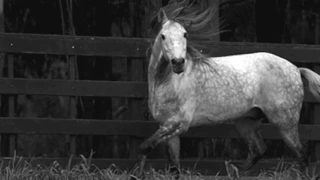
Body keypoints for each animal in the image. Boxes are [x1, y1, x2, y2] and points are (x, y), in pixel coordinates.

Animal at [132, 2, 318, 179]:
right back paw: (233, 171)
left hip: (285, 123)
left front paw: (137, 175)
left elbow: (144, 147)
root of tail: (296, 68)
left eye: (185, 34)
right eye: (163, 36)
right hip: (246, 122)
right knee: (259, 150)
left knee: (301, 156)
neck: (166, 83)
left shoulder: (179, 123)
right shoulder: (168, 126)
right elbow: (174, 166)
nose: (178, 63)